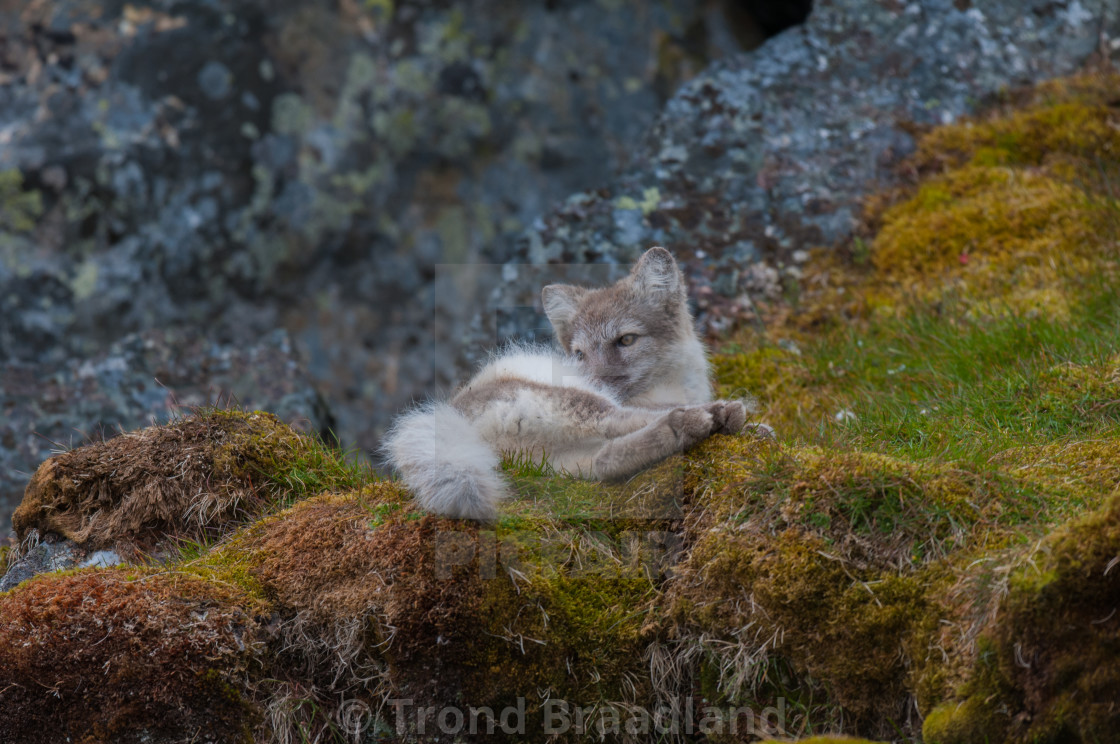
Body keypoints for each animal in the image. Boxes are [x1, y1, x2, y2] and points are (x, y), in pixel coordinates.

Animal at [383, 246, 743, 519]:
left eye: (626, 340)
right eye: (579, 354)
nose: (593, 379)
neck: (678, 380)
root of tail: (454, 416)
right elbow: (657, 407)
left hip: (559, 462)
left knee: (605, 460)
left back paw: (684, 428)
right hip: (576, 404)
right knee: (619, 421)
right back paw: (709, 416)